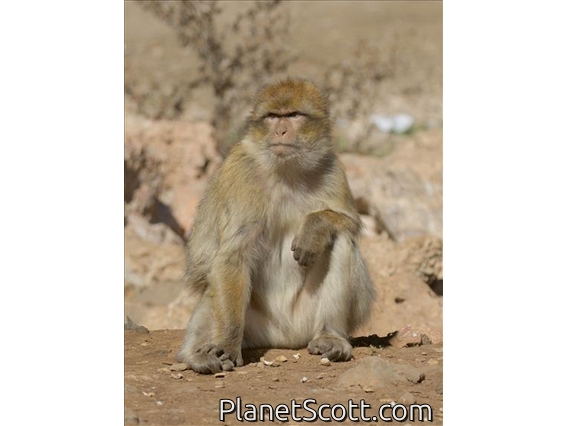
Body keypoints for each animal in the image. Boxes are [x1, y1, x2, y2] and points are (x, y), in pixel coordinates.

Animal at [176, 78, 376, 374]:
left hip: (307, 319)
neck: (286, 171)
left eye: (293, 115)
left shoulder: (332, 167)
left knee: (340, 240)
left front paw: (314, 229)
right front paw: (227, 345)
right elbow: (231, 257)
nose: (281, 131)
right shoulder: (242, 173)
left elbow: (350, 222)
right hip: (257, 326)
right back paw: (197, 356)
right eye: (272, 116)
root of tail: (286, 340)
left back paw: (331, 337)